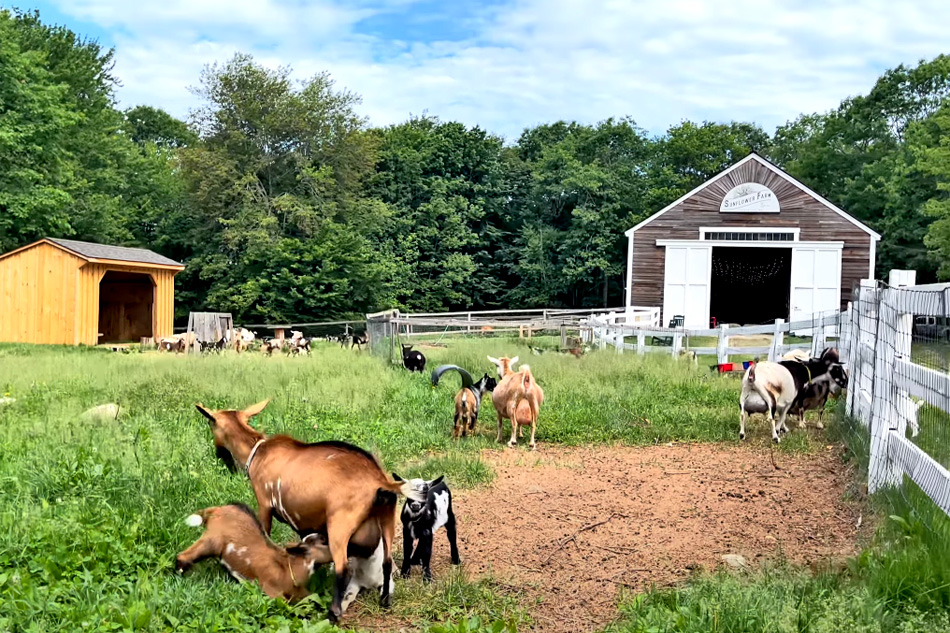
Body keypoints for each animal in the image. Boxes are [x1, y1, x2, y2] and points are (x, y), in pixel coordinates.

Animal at [177, 504, 330, 604]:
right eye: (322, 542)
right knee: (183, 556)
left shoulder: (299, 592)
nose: (324, 535)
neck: (287, 567)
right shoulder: (271, 590)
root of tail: (219, 509)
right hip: (212, 540)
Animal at [193, 398, 424, 620]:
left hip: (340, 524)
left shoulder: (264, 503)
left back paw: (333, 613)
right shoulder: (304, 521)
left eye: (210, 423)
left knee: (343, 569)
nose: (220, 457)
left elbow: (265, 533)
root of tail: (380, 482)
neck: (257, 452)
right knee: (387, 562)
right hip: (388, 517)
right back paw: (385, 602)